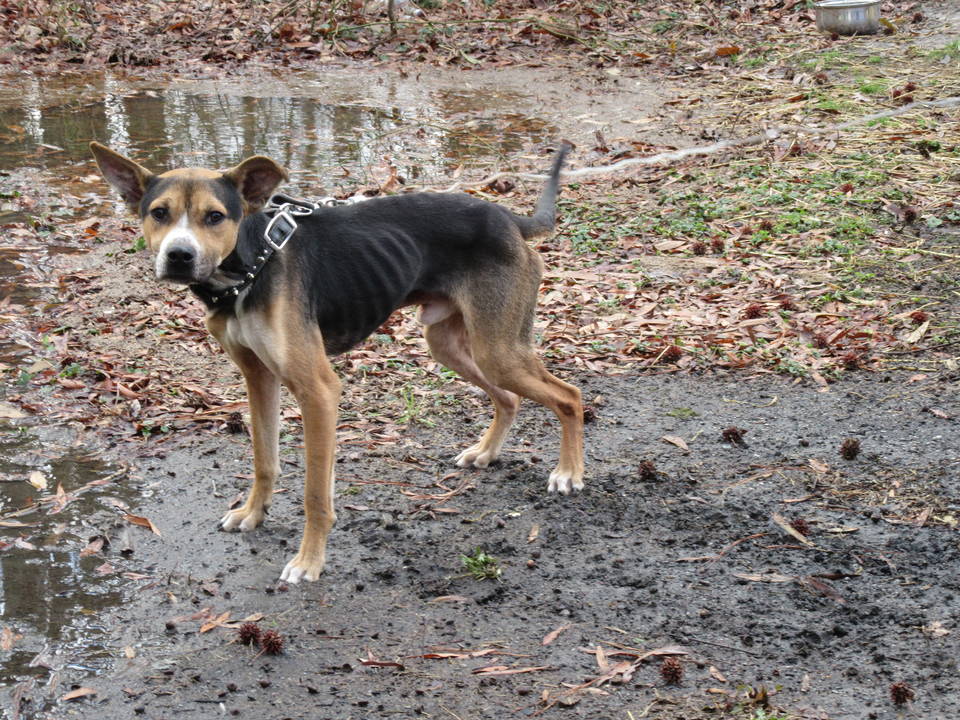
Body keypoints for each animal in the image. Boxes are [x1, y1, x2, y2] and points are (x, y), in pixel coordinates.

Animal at [92, 142, 584, 584]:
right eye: (159, 213)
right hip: (451, 344)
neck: (250, 265)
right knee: (509, 398)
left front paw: (309, 561)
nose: (179, 256)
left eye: (215, 216)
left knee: (569, 396)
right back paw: (486, 452)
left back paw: (569, 473)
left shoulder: (318, 391)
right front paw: (252, 512)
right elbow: (264, 459)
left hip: (497, 349)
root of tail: (509, 219)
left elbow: (315, 494)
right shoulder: (258, 377)